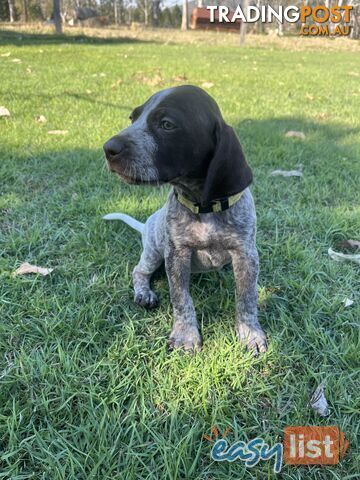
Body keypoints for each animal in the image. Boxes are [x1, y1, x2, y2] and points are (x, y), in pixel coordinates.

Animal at [102, 85, 266, 356]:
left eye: (167, 124)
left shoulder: (246, 255)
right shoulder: (176, 255)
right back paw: (144, 293)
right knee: (139, 271)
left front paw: (250, 333)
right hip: (153, 251)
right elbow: (181, 299)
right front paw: (185, 335)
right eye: (133, 118)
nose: (108, 148)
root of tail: (145, 226)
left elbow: (247, 298)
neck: (203, 206)